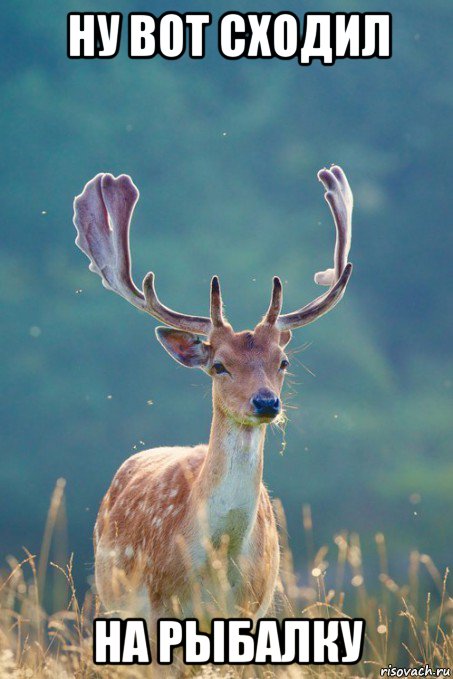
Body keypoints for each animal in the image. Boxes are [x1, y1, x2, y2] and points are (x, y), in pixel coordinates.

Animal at [72, 163, 354, 636]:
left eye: (283, 361)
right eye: (219, 365)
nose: (266, 403)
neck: (218, 562)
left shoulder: (253, 608)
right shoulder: (160, 606)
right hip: (113, 600)